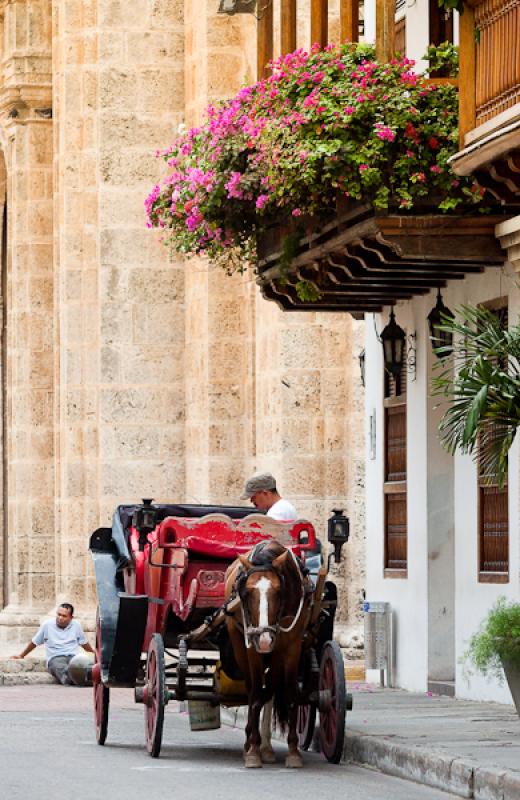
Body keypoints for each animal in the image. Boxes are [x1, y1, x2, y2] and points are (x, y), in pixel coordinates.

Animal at [224, 536, 312, 768]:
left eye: (279, 592)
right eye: (246, 593)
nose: (264, 640)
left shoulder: (292, 646)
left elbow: (290, 695)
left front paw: (293, 752)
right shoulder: (252, 647)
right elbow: (255, 696)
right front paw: (253, 751)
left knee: (270, 691)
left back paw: (267, 747)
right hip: (240, 645)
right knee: (253, 689)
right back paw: (251, 743)